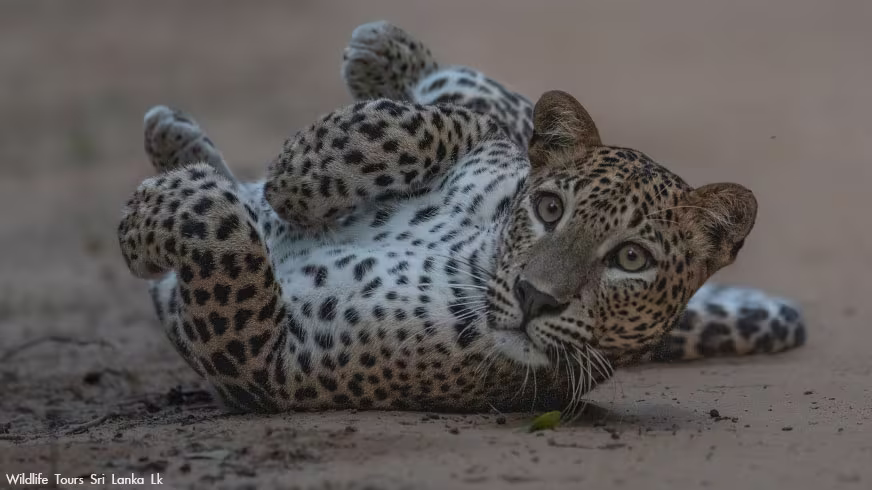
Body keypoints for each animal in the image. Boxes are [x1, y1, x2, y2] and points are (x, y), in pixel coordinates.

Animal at [119, 21, 806, 413]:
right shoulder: (485, 141)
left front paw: (150, 220)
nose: (535, 297)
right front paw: (298, 174)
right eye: (549, 209)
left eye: (631, 259)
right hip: (519, 109)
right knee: (473, 92)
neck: (478, 252)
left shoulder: (267, 362)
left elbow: (224, 237)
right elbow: (413, 123)